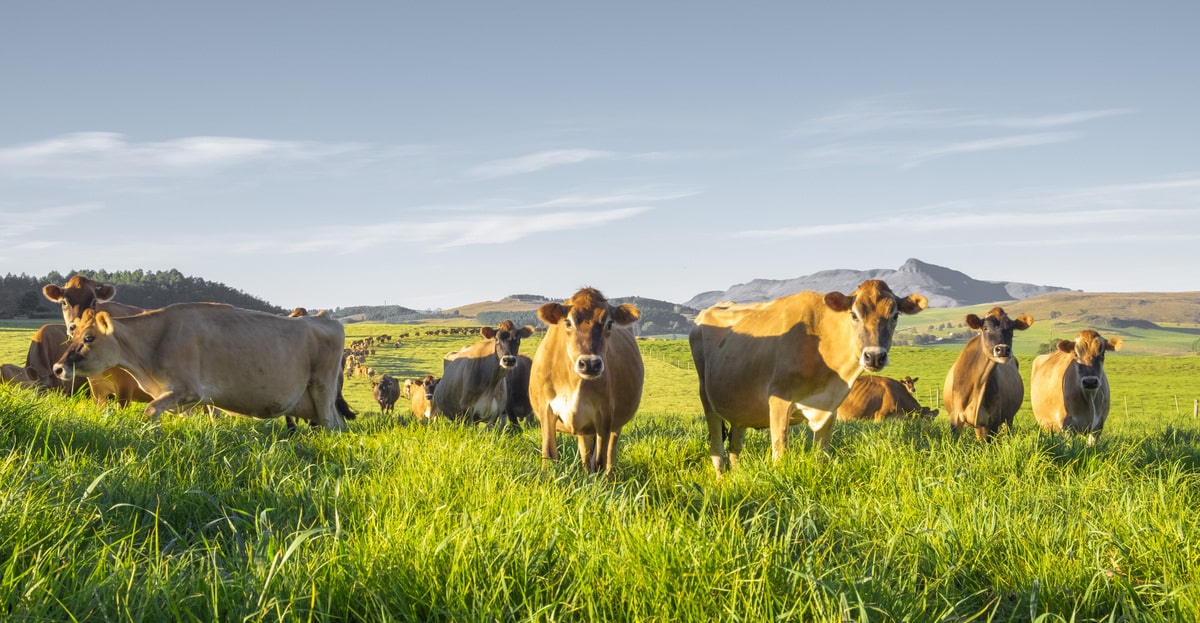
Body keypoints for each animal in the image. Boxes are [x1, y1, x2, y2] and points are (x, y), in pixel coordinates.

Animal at [52, 304, 350, 432]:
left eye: (89, 338)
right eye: (73, 332)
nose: (57, 367)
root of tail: (324, 317)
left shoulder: (188, 389)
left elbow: (150, 410)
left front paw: (153, 434)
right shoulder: (188, 400)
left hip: (322, 391)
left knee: (333, 426)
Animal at [530, 290, 643, 475]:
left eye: (609, 323)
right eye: (568, 322)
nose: (590, 363)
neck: (574, 383)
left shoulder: (605, 416)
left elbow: (599, 461)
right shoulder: (546, 409)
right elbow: (549, 454)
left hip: (615, 423)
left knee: (610, 453)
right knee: (585, 452)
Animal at [686, 280, 926, 475]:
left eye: (895, 315)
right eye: (854, 314)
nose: (874, 356)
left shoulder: (830, 408)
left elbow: (821, 456)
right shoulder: (779, 401)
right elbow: (780, 454)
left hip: (741, 406)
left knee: (735, 445)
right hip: (706, 397)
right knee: (717, 447)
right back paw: (720, 479)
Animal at [936, 306, 1032, 441]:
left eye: (1011, 328)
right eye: (985, 327)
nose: (1003, 349)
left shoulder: (993, 421)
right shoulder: (956, 418)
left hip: (1008, 419)